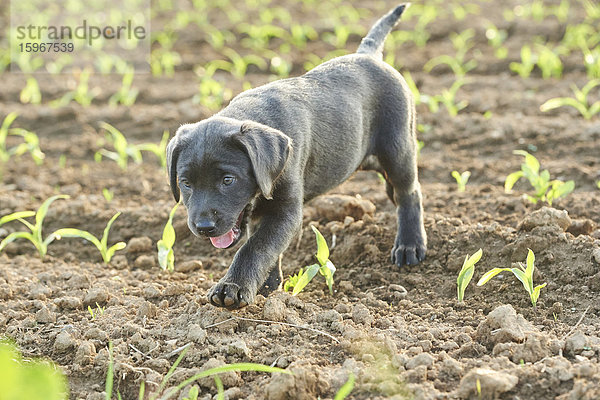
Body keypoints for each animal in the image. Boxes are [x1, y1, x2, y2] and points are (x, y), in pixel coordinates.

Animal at [165, 3, 426, 310]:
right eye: (186, 183)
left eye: (228, 180)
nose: (204, 227)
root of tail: (368, 55)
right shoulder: (263, 213)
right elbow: (267, 248)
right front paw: (268, 288)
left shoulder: (286, 210)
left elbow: (255, 247)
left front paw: (234, 287)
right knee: (394, 190)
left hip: (398, 146)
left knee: (409, 192)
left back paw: (409, 245)